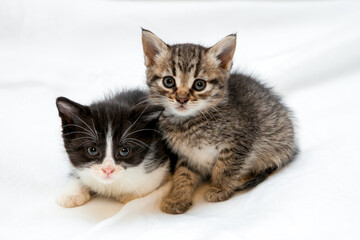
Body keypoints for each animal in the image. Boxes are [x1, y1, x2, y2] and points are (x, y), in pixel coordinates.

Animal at [142, 29, 296, 215]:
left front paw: (220, 188)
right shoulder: (189, 155)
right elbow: (183, 174)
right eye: (169, 81)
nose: (182, 99)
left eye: (199, 84)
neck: (187, 124)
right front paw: (177, 197)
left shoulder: (242, 138)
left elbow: (226, 166)